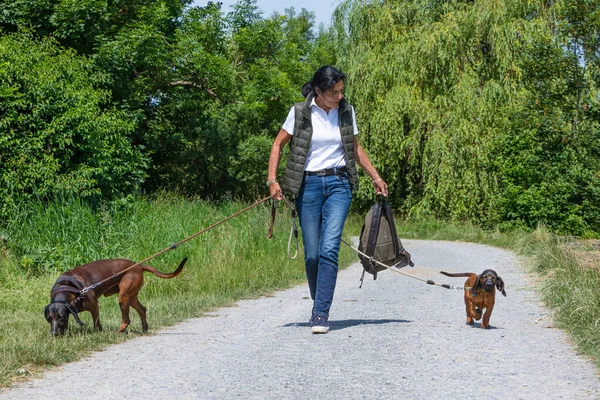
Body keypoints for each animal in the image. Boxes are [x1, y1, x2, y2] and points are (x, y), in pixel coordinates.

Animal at [44, 256, 186, 334]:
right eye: (49, 318)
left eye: (61, 317)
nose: (54, 333)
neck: (65, 287)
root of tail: (138, 266)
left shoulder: (94, 305)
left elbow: (97, 323)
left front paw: (98, 333)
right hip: (130, 296)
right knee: (142, 309)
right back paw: (144, 327)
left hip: (123, 297)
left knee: (126, 320)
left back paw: (119, 331)